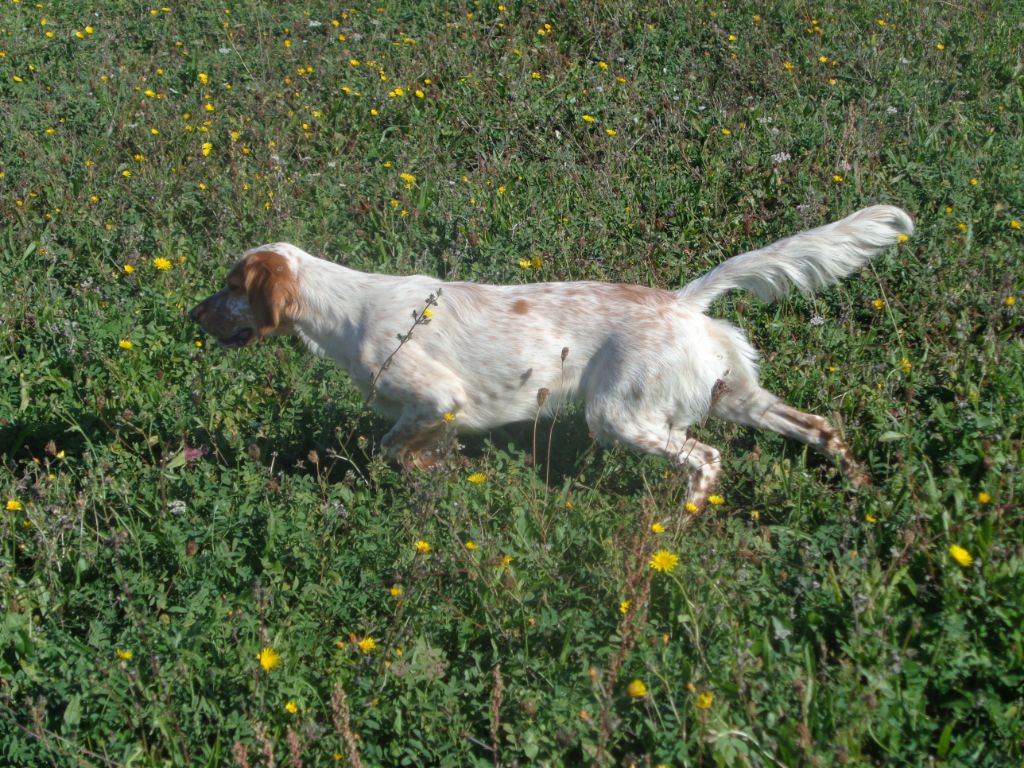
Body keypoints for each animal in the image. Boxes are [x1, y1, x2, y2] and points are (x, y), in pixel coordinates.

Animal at [190, 205, 913, 512]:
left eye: (230, 288)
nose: (192, 315)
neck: (346, 311)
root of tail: (684, 301)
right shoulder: (432, 417)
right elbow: (419, 453)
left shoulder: (436, 399)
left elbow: (393, 447)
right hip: (732, 394)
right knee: (818, 425)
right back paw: (859, 484)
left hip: (620, 416)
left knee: (706, 460)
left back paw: (674, 526)